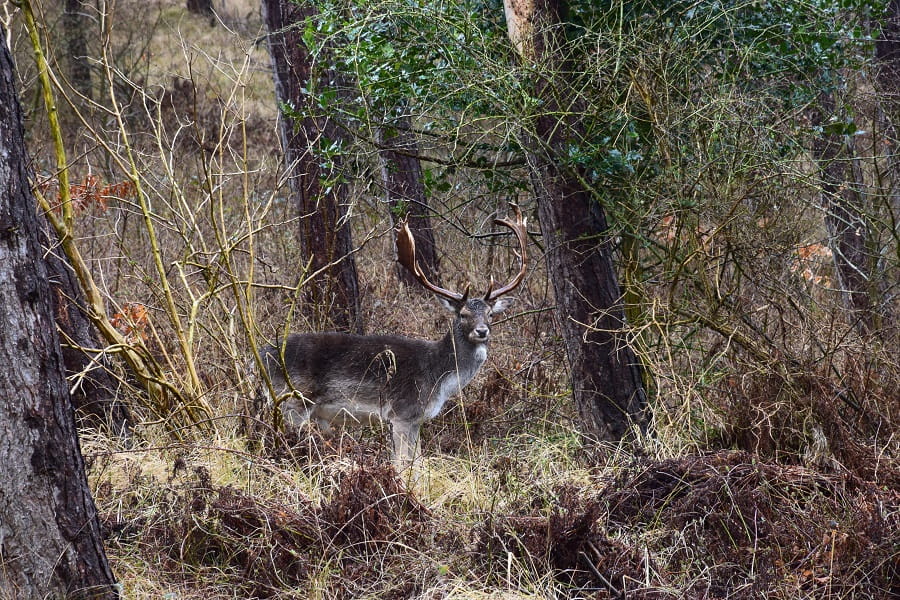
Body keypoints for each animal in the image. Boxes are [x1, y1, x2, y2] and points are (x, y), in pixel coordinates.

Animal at [256, 204, 528, 472]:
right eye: (463, 314)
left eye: (491, 314)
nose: (482, 331)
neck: (438, 376)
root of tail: (259, 356)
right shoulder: (401, 412)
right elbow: (402, 464)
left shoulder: (417, 419)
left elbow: (417, 463)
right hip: (294, 402)